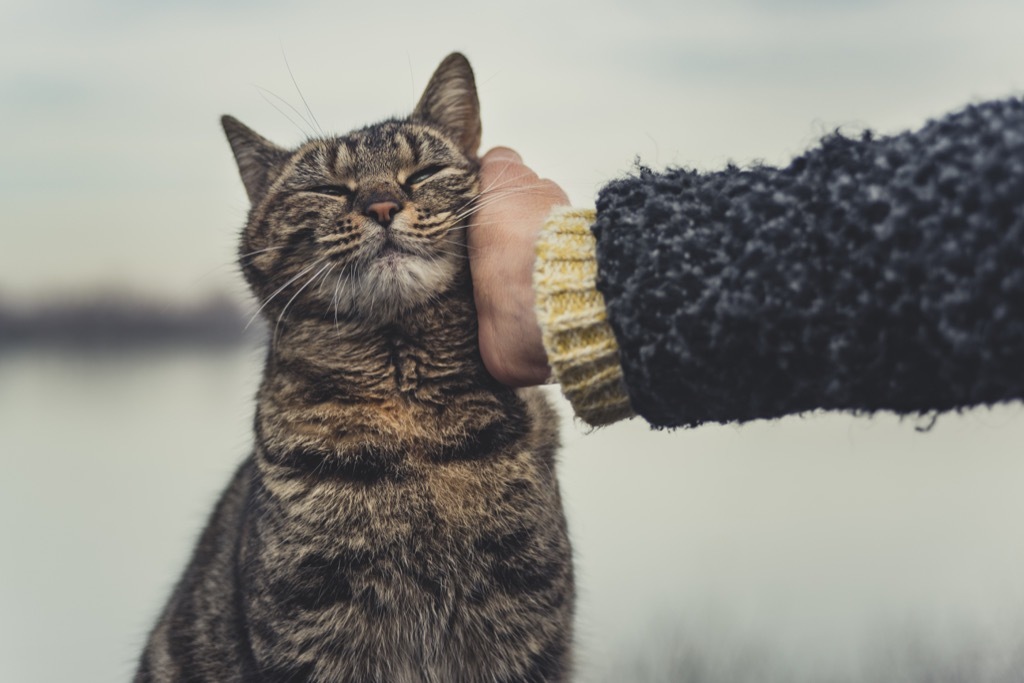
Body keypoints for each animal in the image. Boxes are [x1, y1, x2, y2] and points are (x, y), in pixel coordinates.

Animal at [131, 54, 573, 683]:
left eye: (424, 171)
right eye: (326, 188)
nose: (381, 205)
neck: (409, 416)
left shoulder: (526, 626)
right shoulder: (313, 632)